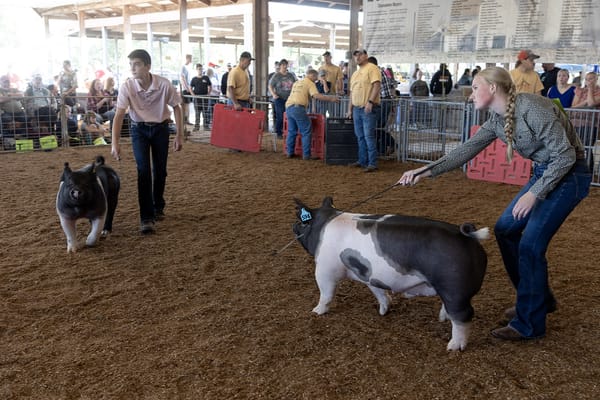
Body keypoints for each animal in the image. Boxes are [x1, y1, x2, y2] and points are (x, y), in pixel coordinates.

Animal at [292, 197, 490, 350]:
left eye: (302, 222)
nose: (293, 225)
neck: (324, 225)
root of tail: (469, 237)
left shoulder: (324, 269)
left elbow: (325, 294)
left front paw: (316, 311)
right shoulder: (369, 275)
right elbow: (379, 292)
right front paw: (383, 311)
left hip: (454, 288)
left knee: (463, 316)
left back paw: (453, 347)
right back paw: (443, 319)